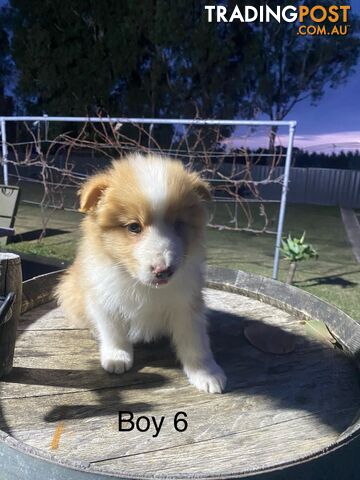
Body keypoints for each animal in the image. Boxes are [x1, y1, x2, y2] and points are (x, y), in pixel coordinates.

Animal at [55, 154, 225, 394]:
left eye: (178, 224)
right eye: (134, 227)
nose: (163, 271)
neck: (140, 284)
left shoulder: (187, 303)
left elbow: (195, 341)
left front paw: (207, 374)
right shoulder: (104, 298)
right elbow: (114, 331)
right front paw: (117, 357)